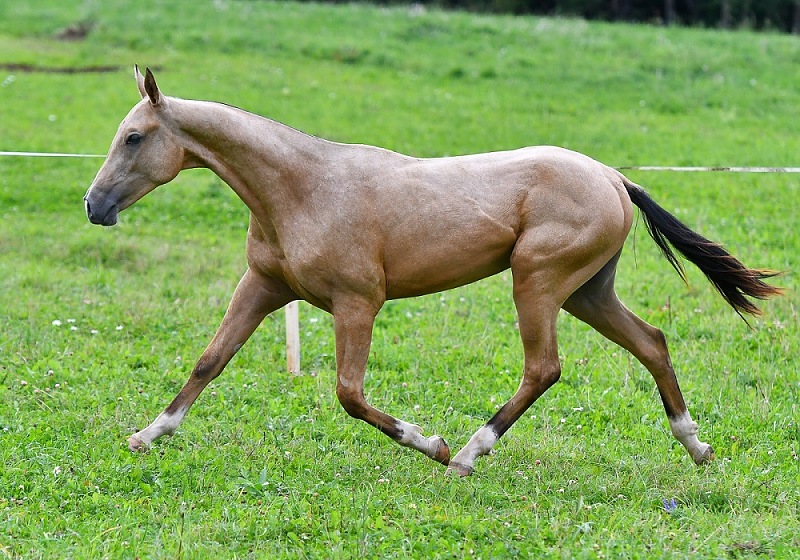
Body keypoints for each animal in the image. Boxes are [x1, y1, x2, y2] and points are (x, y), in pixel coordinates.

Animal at [84, 67, 781, 476]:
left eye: (135, 138)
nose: (94, 205)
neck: (302, 188)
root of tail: (612, 177)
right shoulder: (263, 287)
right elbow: (210, 361)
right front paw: (148, 435)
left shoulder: (358, 302)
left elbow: (349, 394)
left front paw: (430, 441)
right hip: (586, 292)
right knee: (652, 343)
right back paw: (698, 447)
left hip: (537, 282)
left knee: (545, 367)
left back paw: (468, 453)